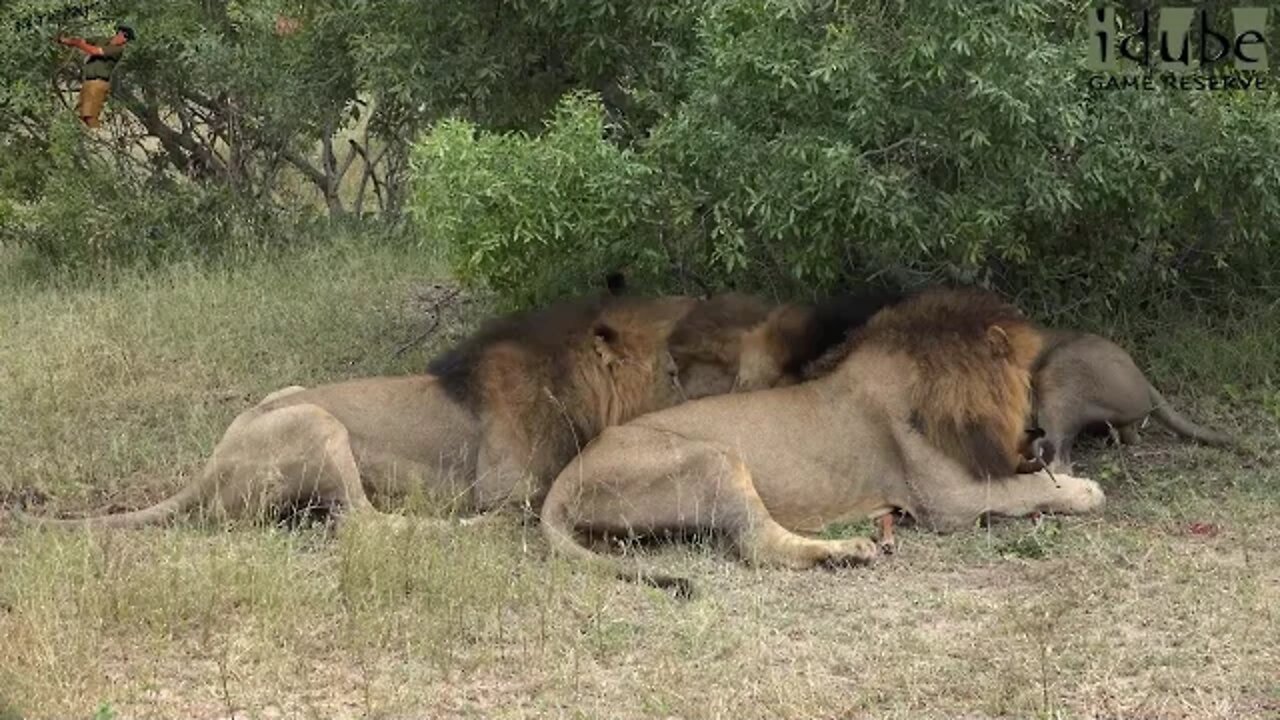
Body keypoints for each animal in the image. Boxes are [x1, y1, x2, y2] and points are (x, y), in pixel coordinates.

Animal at [22, 288, 711, 530]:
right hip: (318, 423)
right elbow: (532, 494)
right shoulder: (503, 484)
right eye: (674, 370)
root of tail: (211, 466)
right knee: (362, 521)